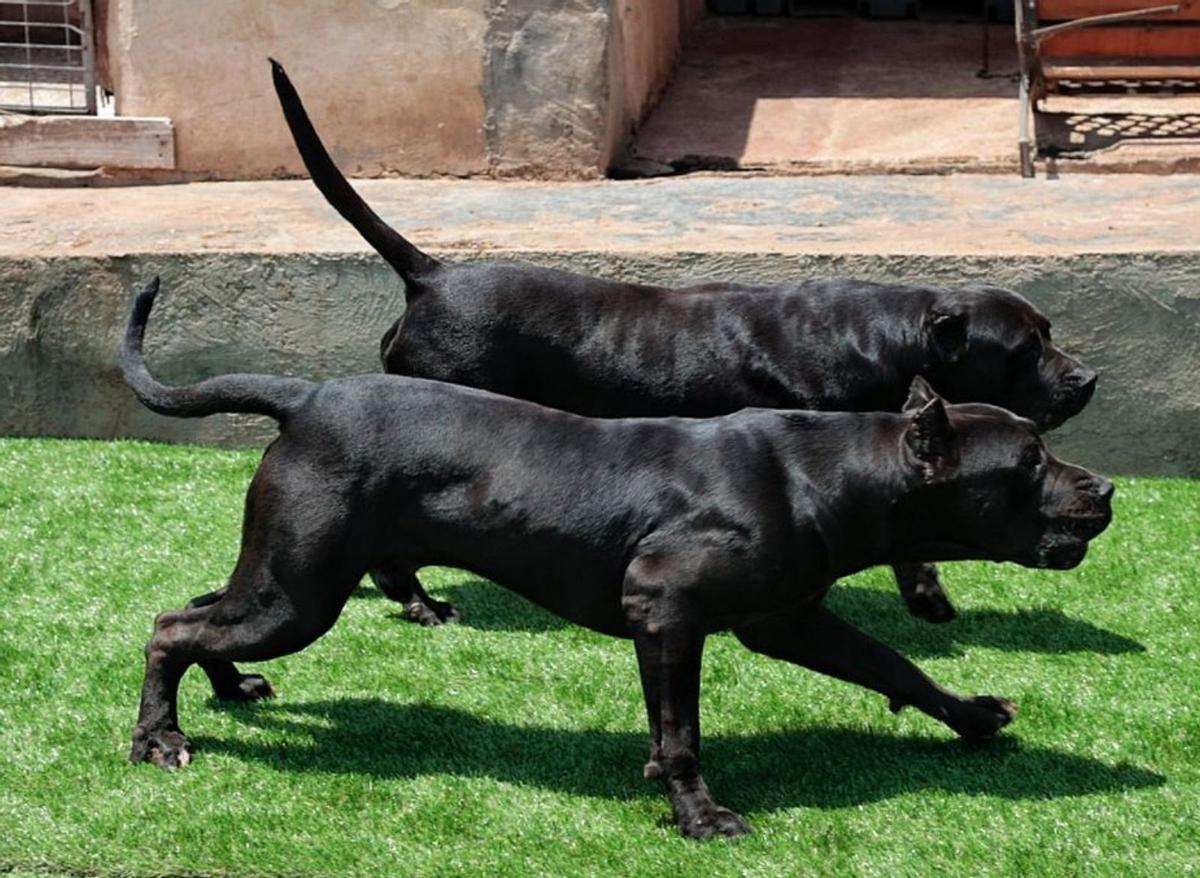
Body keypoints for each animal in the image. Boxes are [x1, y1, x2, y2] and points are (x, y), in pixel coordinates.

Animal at [124, 279, 1113, 834]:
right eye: (1030, 464)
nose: (1104, 490)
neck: (835, 467)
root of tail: (305, 396)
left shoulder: (790, 620)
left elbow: (897, 665)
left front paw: (971, 716)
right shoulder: (666, 615)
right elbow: (679, 735)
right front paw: (699, 816)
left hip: (286, 573)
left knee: (197, 611)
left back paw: (225, 691)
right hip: (301, 592)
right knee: (169, 628)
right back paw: (159, 739)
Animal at [270, 59, 1099, 623]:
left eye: (1049, 333)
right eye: (1027, 350)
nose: (1086, 380)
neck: (889, 339)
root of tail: (431, 274)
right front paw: (926, 599)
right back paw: (417, 601)